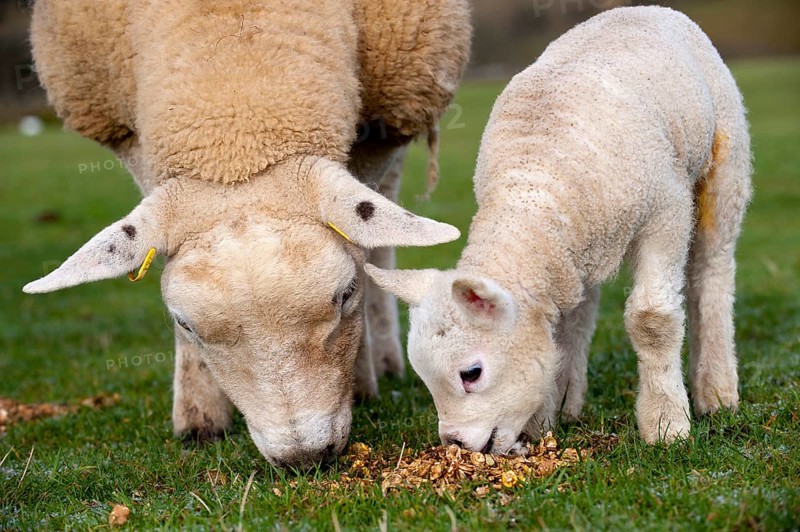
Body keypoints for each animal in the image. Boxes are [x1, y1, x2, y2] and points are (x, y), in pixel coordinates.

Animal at [24, 0, 471, 467]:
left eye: (346, 295)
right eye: (184, 324)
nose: (304, 456)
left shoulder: (386, 119)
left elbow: (362, 245)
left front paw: (362, 383)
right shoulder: (126, 133)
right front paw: (199, 419)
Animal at [367, 6, 752, 454]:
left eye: (472, 373)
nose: (456, 443)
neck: (533, 185)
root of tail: (646, 9)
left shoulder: (665, 211)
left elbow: (652, 319)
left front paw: (665, 423)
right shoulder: (561, 251)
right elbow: (560, 328)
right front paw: (544, 419)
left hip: (724, 168)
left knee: (712, 270)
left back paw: (717, 390)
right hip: (585, 245)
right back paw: (570, 397)